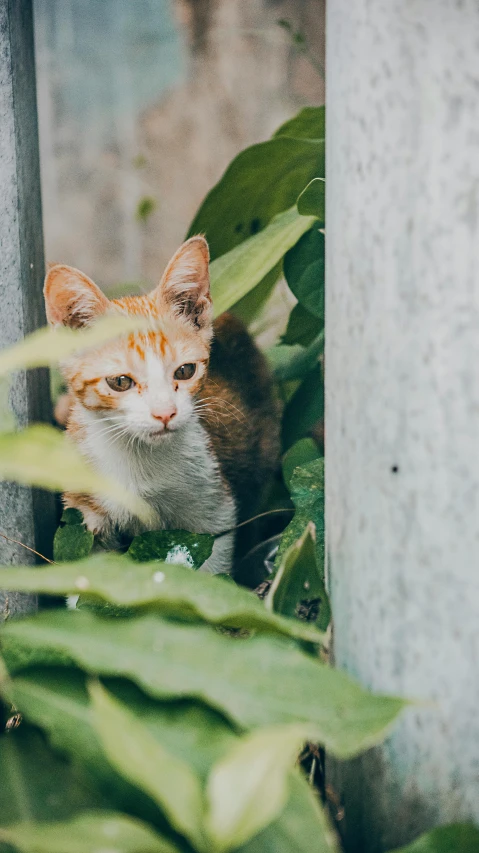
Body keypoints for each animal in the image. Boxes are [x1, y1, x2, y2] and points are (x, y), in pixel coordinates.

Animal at [44, 236, 282, 576]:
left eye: (185, 371)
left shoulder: (214, 509)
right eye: (120, 381)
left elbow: (210, 566)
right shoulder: (85, 514)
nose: (165, 413)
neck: (139, 461)